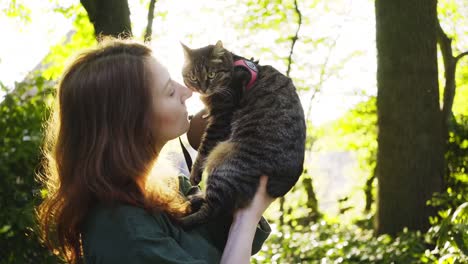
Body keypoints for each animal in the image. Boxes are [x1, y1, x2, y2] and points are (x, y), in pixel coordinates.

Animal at [178, 41, 304, 227]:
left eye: (211, 74)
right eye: (193, 77)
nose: (203, 88)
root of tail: (285, 181)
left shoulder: (221, 119)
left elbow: (203, 149)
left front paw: (194, 173)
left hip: (225, 164)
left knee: (213, 211)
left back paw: (181, 218)